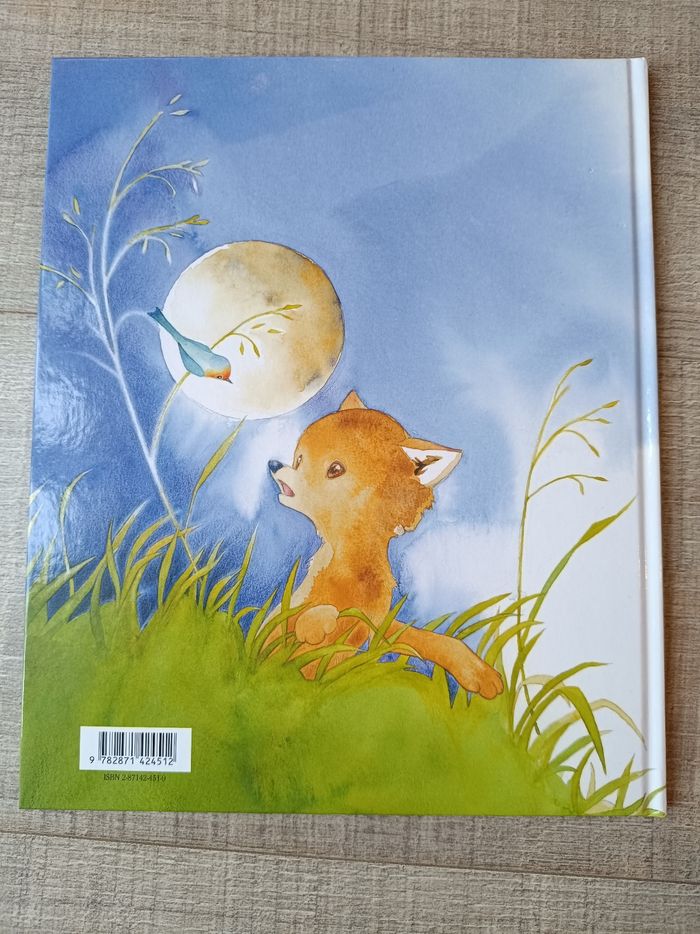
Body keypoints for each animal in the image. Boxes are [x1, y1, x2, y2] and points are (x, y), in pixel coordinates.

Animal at [268, 391, 503, 699]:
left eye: (335, 469)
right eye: (299, 459)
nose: (274, 465)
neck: (351, 568)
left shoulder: (378, 621)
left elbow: (431, 640)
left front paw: (478, 672)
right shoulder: (279, 628)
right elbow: (293, 629)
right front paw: (317, 624)